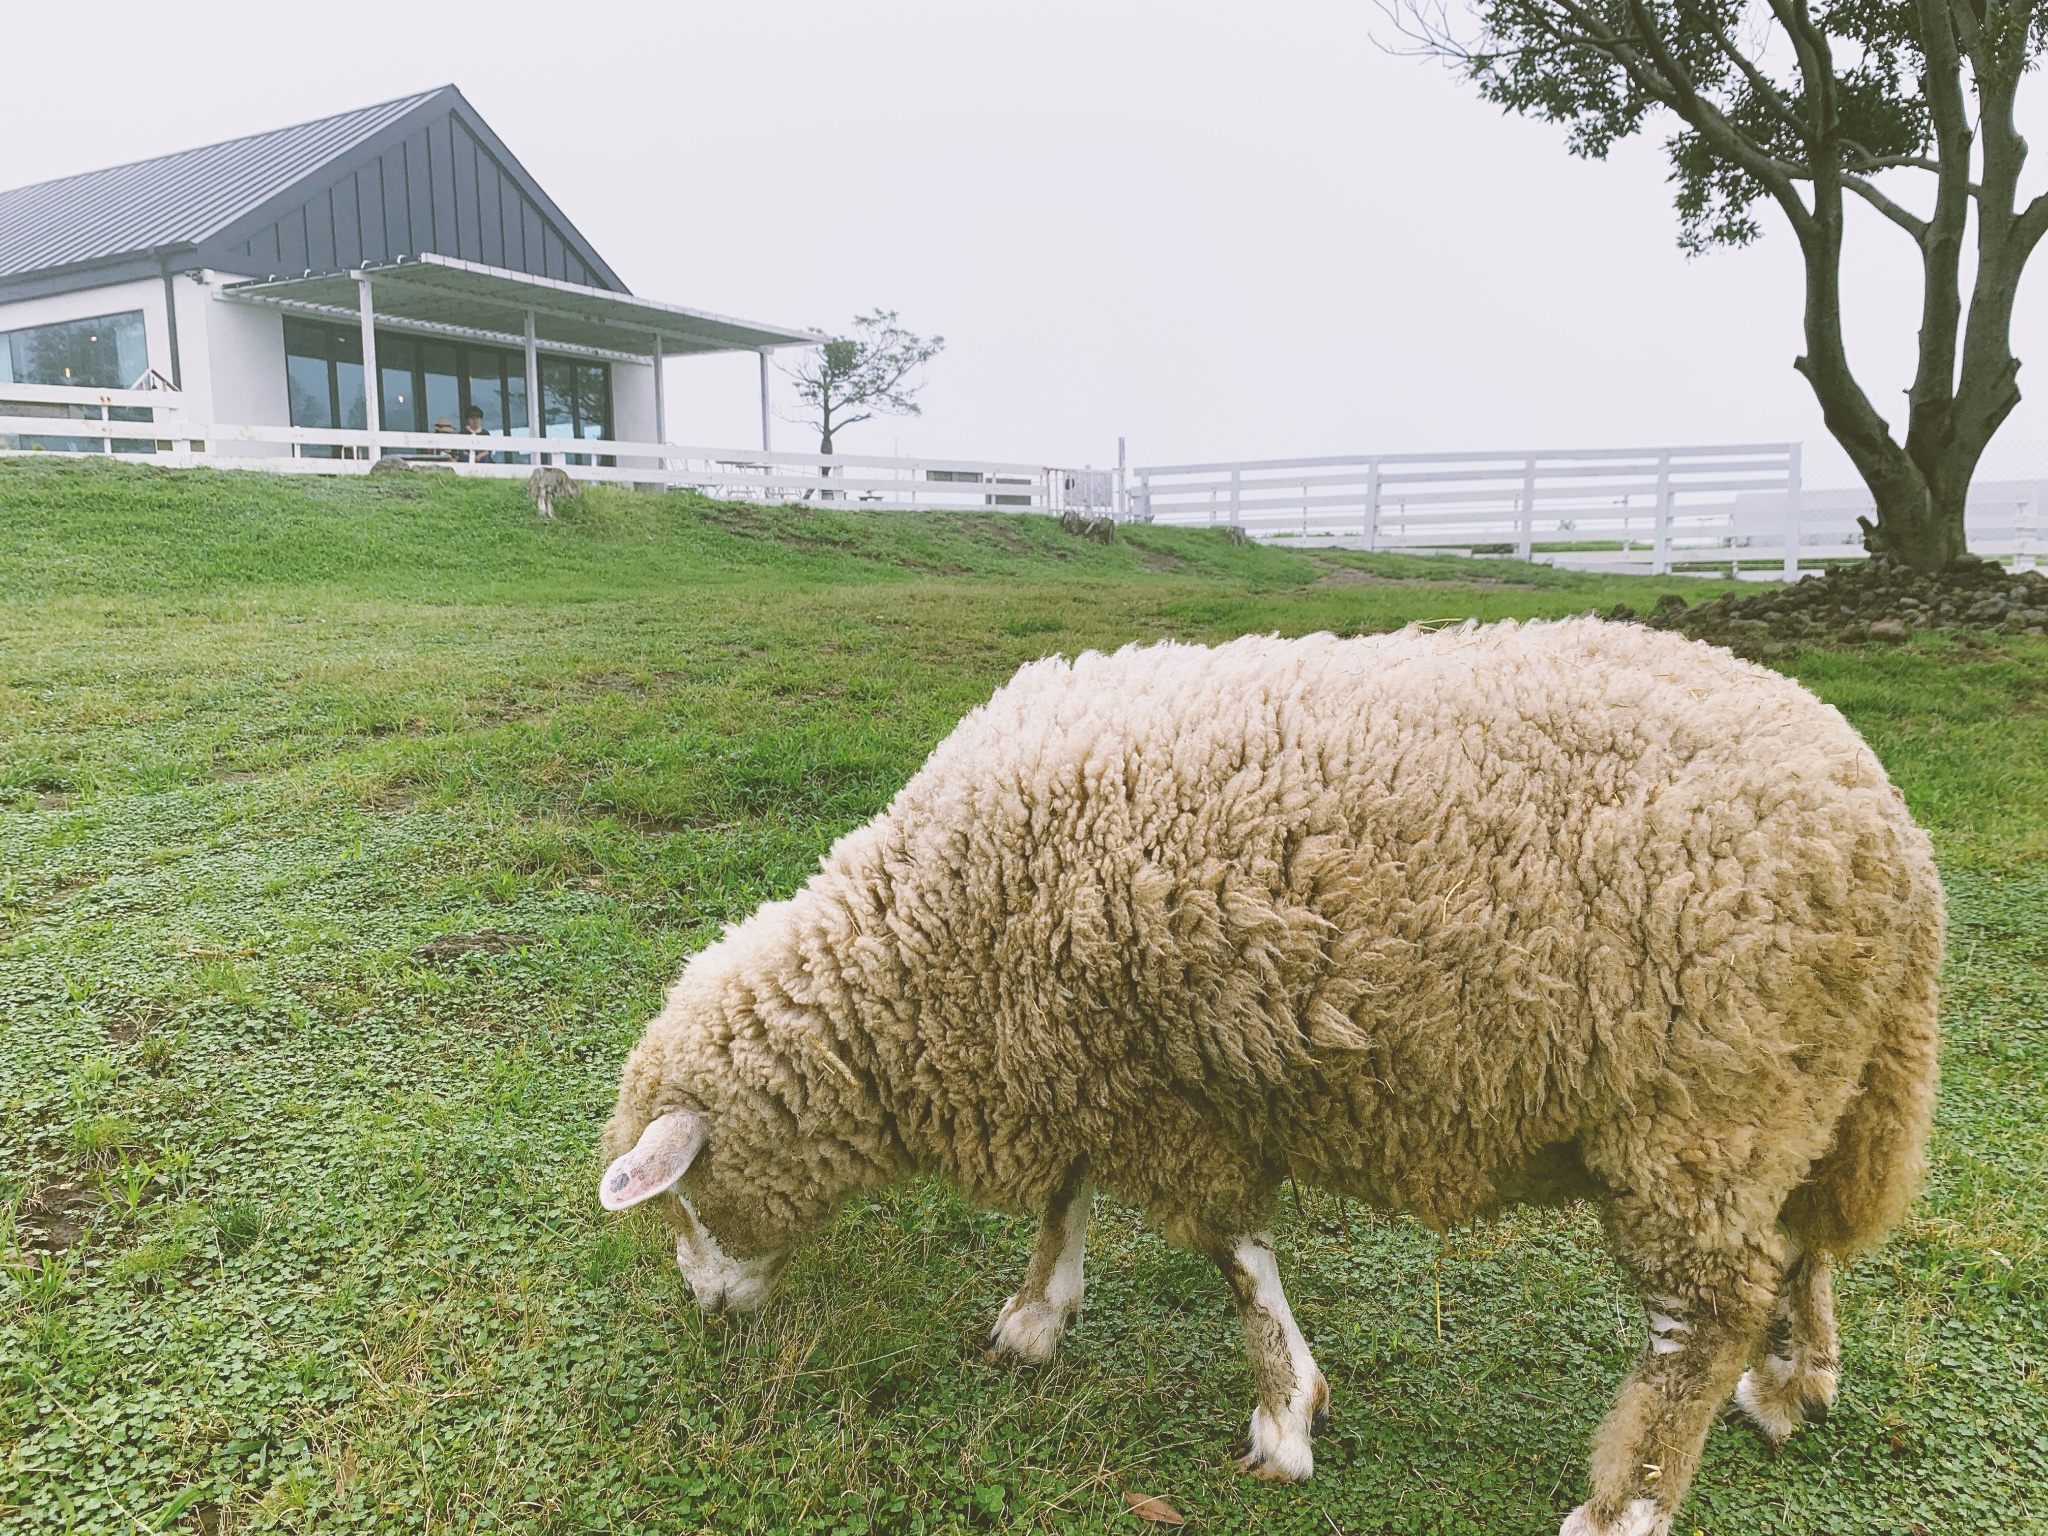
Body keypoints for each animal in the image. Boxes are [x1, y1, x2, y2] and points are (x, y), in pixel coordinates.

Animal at [598, 618, 1941, 1536]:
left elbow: (1235, 1259)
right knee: (1802, 1243)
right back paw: (1790, 1382)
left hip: (1699, 1099)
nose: (706, 1308)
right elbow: (1068, 1198)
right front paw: (1037, 1312)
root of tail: (1889, 832)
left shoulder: (1169, 1097)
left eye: (680, 1195)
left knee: (1705, 1306)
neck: (933, 944)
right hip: (1804, 1089)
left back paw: (1630, 1503)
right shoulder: (1092, 1063)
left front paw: (1283, 1416)